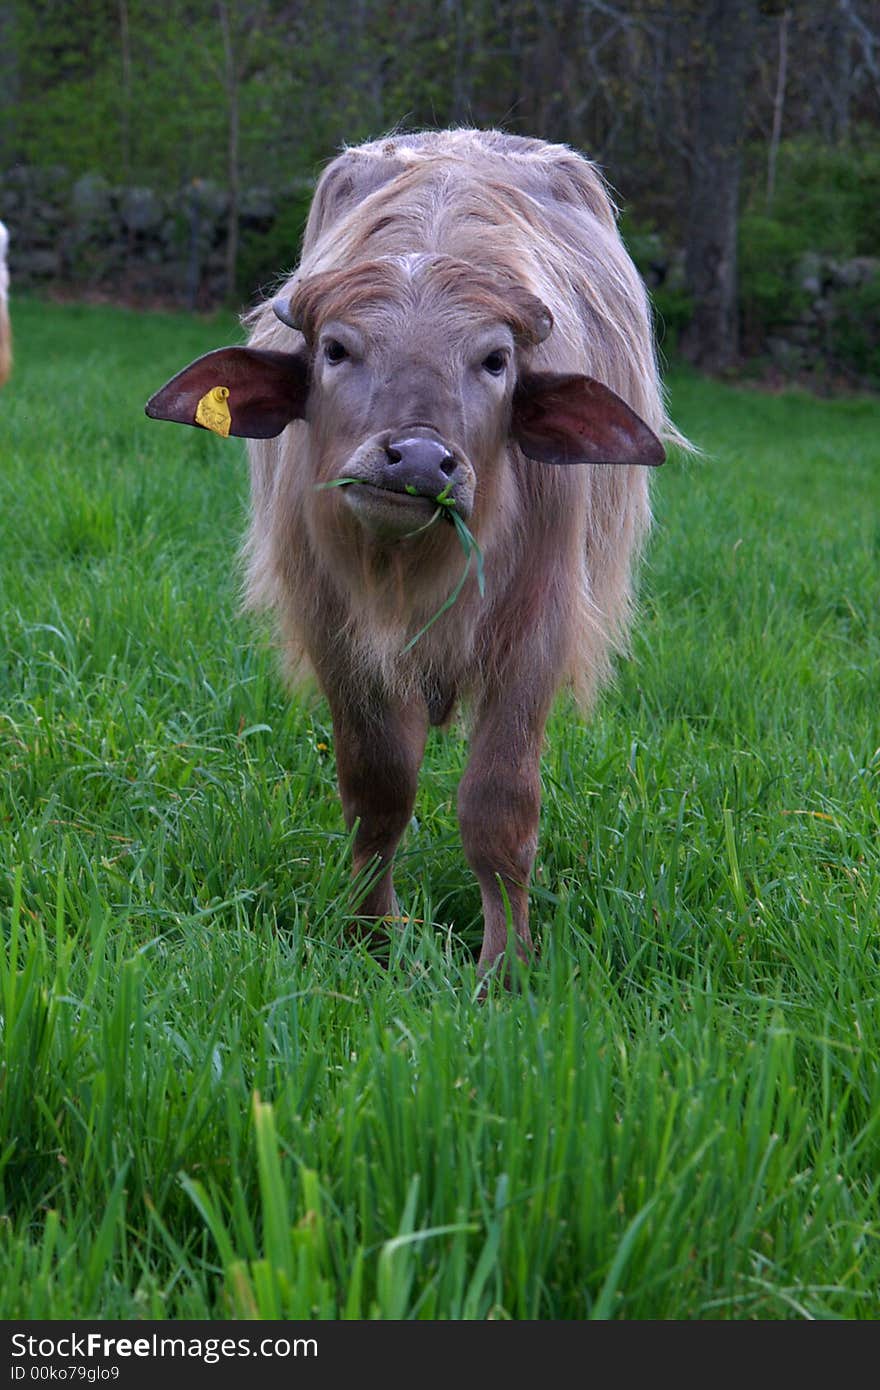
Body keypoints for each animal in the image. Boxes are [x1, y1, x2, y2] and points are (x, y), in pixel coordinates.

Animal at [143, 127, 683, 978]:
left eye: (495, 360)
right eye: (336, 349)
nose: (421, 461)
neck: (413, 571)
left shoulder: (539, 626)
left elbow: (499, 804)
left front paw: (506, 964)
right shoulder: (336, 628)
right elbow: (378, 789)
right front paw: (372, 934)